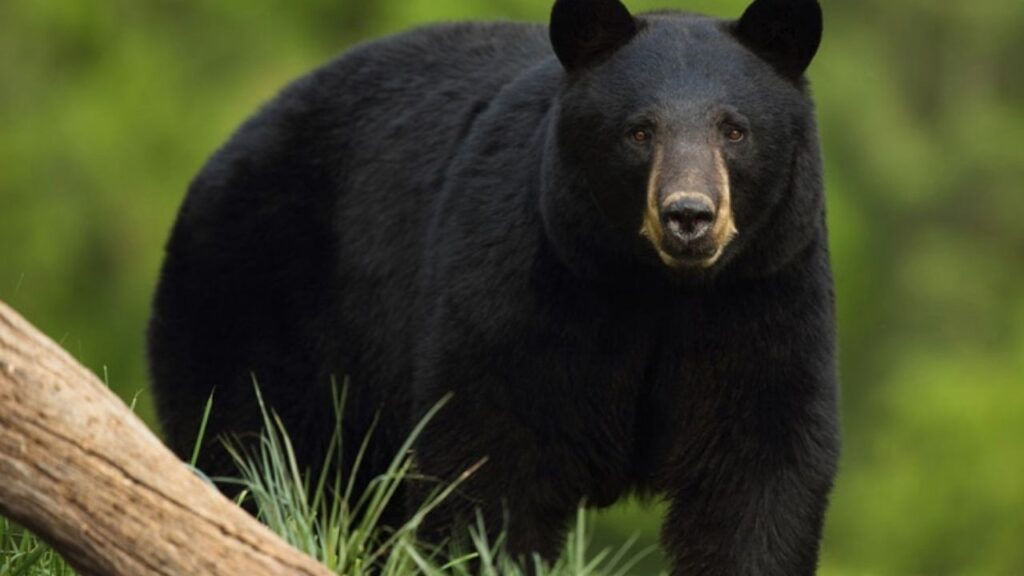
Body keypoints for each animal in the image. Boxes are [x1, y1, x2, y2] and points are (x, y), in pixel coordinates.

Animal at [147, 0, 840, 573]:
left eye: (735, 129)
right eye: (639, 131)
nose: (689, 215)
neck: (655, 288)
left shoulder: (765, 293)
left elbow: (757, 473)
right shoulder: (521, 284)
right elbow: (490, 459)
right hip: (253, 301)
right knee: (252, 452)